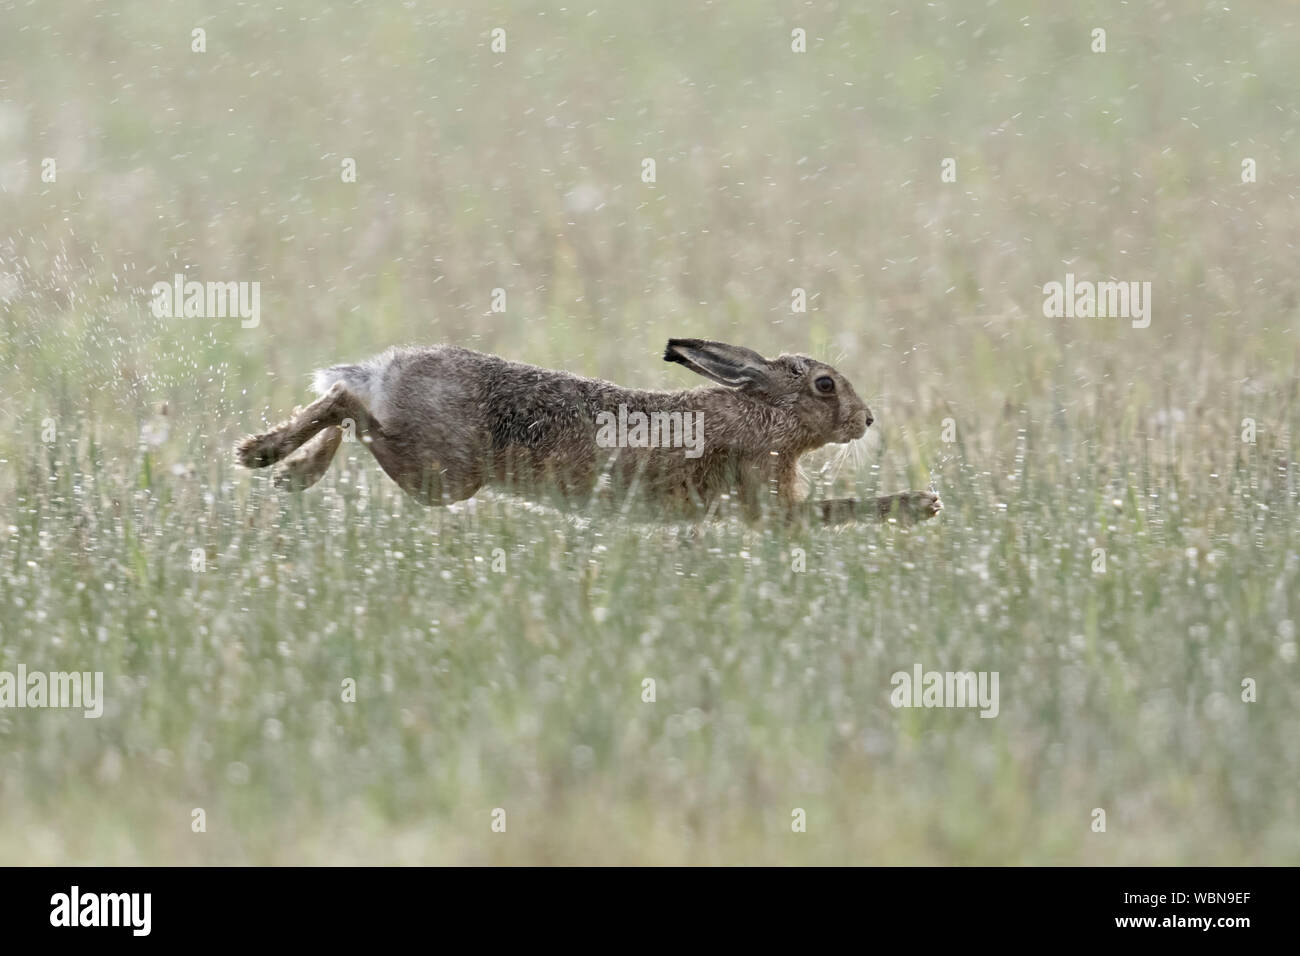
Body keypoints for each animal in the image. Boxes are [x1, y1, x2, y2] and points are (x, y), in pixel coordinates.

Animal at [235, 339, 942, 525]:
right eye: (824, 385)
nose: (867, 420)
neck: (763, 410)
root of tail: (388, 371)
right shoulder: (766, 501)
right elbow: (829, 513)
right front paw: (920, 505)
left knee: (345, 403)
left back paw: (284, 467)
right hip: (445, 475)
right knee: (349, 406)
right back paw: (272, 458)